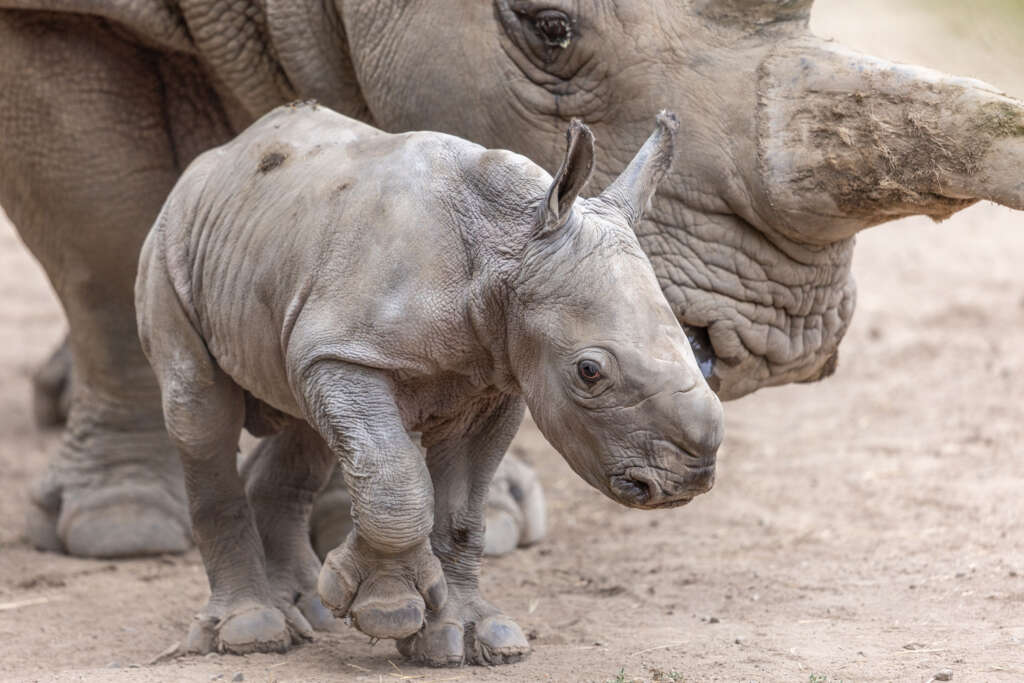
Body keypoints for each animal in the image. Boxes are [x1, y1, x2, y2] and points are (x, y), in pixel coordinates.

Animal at [1, 0, 1023, 560]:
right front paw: (120, 525)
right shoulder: (55, 14)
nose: (788, 342)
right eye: (549, 27)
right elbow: (101, 246)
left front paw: (484, 521)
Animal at [135, 103, 723, 664]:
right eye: (590, 371)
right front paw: (388, 610)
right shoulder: (348, 352)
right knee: (200, 414)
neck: (508, 248)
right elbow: (394, 478)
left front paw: (464, 639)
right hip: (169, 245)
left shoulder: (495, 380)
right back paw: (252, 631)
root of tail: (219, 158)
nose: (688, 479)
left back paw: (310, 614)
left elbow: (462, 510)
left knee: (303, 425)